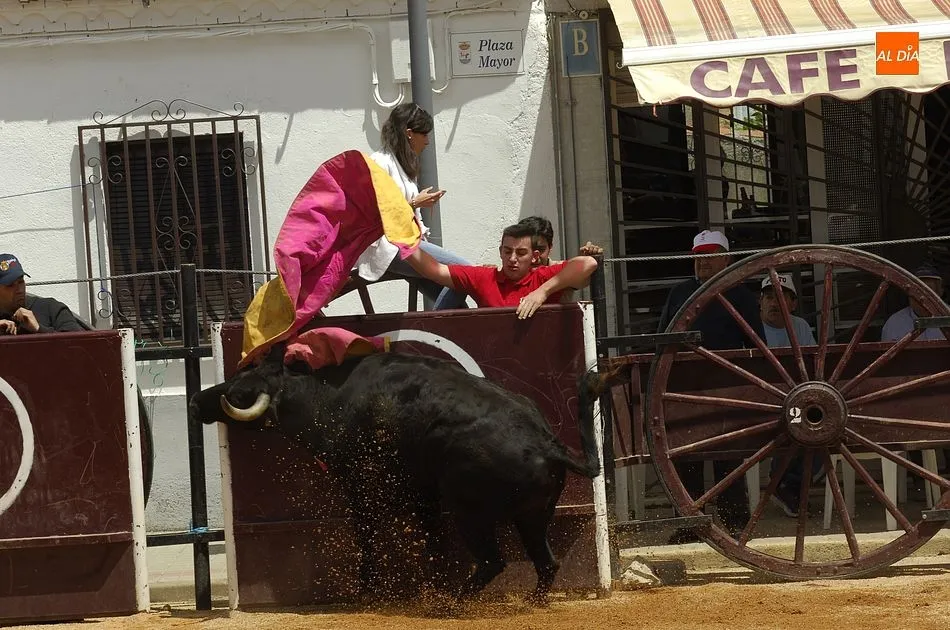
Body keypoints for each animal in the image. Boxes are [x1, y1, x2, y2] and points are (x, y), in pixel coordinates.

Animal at [188, 344, 602, 605]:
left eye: (239, 394)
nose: (195, 401)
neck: (332, 400)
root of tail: (548, 444)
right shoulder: (425, 494)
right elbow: (432, 539)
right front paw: (433, 582)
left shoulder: (360, 483)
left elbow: (367, 533)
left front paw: (367, 589)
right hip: (533, 516)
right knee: (546, 562)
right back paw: (530, 601)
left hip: (471, 512)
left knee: (491, 562)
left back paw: (451, 604)